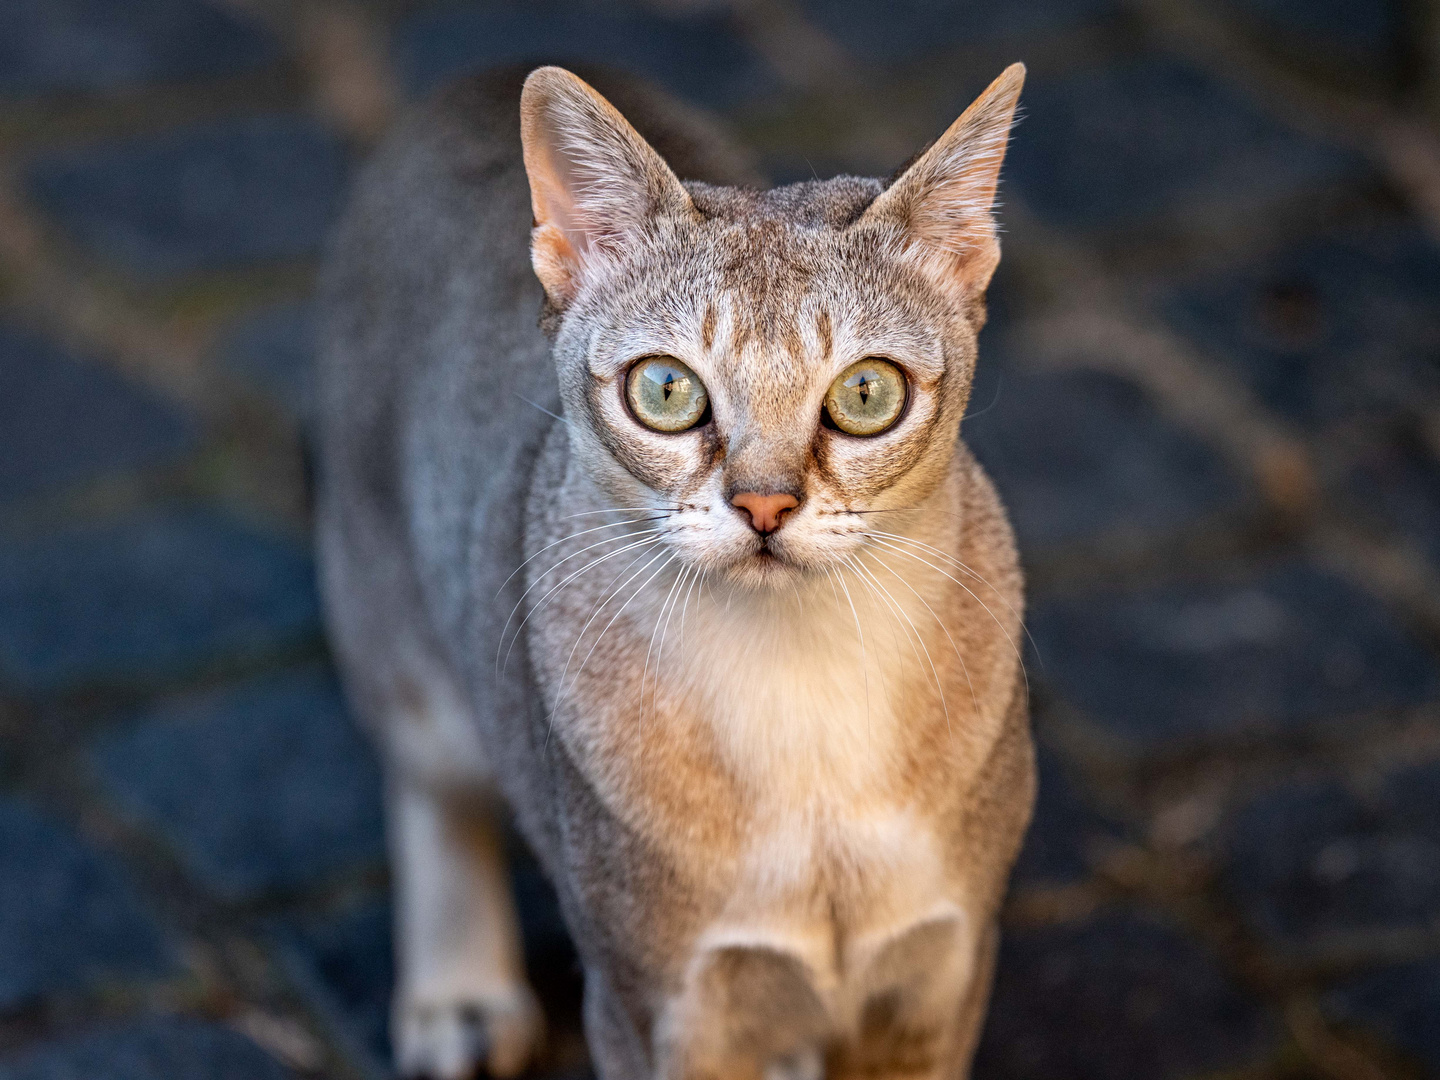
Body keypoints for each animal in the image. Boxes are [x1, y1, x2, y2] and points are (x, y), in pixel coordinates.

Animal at [319, 59, 1031, 1080]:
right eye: (666, 390)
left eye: (866, 394)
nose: (765, 505)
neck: (800, 691)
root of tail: (472, 78)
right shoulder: (658, 1007)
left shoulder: (941, 977)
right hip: (394, 621)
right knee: (429, 783)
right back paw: (459, 991)